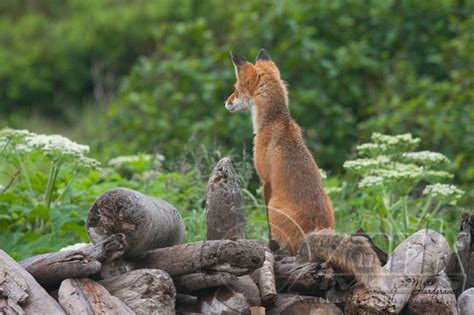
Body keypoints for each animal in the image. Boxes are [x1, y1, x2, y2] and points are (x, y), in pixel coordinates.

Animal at [225, 49, 334, 256]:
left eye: (236, 87)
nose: (226, 103)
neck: (274, 120)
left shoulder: (265, 180)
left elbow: (266, 222)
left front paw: (270, 245)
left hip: (276, 206)